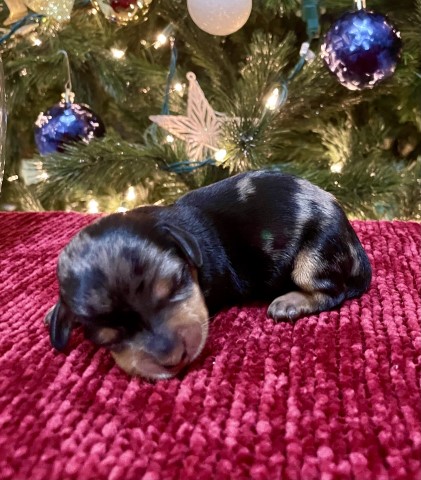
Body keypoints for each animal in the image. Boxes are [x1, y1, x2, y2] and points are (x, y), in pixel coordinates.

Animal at [44, 171, 370, 380]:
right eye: (108, 336)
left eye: (175, 285)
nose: (173, 358)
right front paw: (53, 313)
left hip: (313, 256)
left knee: (333, 291)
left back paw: (290, 302)